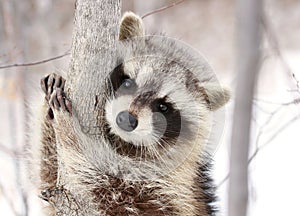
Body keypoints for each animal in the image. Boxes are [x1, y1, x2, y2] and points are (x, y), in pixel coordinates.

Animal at [34, 12, 230, 216]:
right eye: (128, 82)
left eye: (163, 107)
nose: (125, 120)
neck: (123, 143)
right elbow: (50, 177)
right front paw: (49, 109)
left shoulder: (169, 191)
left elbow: (111, 192)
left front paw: (71, 132)